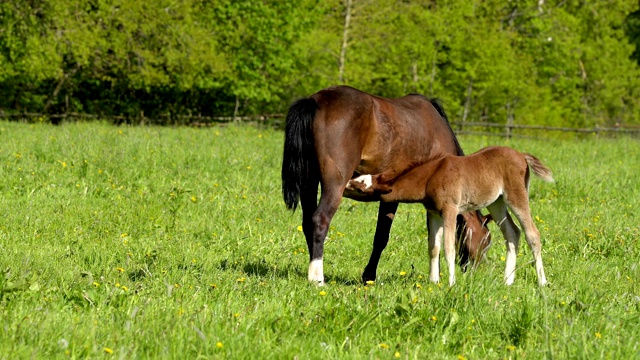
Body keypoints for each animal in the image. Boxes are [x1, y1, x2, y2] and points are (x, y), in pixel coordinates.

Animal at [282, 86, 490, 286]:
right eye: (487, 241)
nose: (477, 273)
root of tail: (315, 101)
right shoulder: (399, 197)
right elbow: (385, 237)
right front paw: (369, 276)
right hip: (334, 186)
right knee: (320, 220)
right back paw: (317, 278)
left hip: (309, 183)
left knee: (308, 222)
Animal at [348, 146, 552, 286]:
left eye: (361, 188)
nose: (346, 183)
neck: (430, 176)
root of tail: (522, 156)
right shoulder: (434, 213)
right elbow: (433, 247)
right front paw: (434, 281)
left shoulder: (450, 211)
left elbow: (448, 248)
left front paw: (451, 283)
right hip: (497, 203)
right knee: (512, 233)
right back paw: (507, 281)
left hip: (516, 196)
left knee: (532, 234)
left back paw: (542, 282)